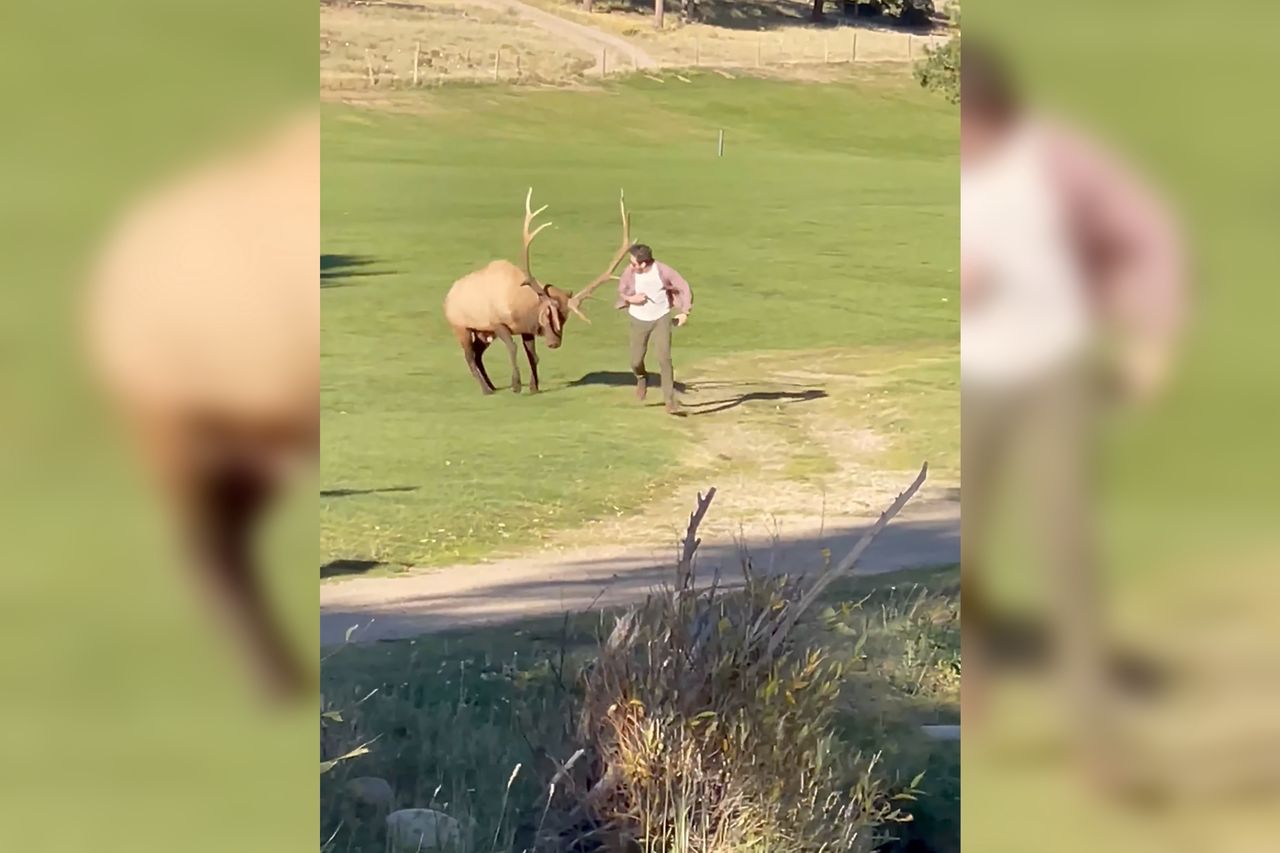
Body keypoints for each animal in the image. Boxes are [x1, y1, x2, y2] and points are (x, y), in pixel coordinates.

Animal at [445, 188, 634, 394]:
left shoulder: (525, 328)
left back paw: (492, 386)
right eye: (549, 315)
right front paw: (516, 385)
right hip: (461, 327)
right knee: (470, 356)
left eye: (565, 318)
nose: (554, 343)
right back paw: (486, 389)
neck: (519, 306)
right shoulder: (497, 323)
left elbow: (532, 355)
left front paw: (534, 387)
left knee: (478, 355)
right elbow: (513, 349)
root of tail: (447, 297)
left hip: (483, 333)